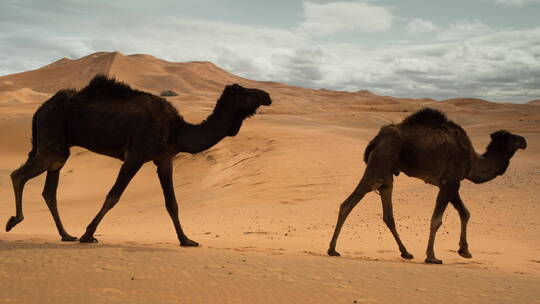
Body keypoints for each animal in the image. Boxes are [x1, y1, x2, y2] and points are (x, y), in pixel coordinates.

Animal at [6, 75, 272, 246]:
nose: (267, 95)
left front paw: (186, 240)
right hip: (52, 139)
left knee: (49, 190)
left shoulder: (164, 159)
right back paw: (14, 221)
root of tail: (40, 108)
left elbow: (172, 203)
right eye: (246, 92)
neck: (177, 131)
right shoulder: (135, 156)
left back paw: (65, 234)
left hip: (60, 147)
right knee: (19, 175)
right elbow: (113, 196)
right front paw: (88, 235)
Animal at [326, 107, 524, 264]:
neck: (472, 161)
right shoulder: (450, 182)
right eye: (512, 137)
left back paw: (406, 253)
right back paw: (332, 249)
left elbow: (465, 213)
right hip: (381, 161)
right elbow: (437, 219)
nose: (524, 140)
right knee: (348, 203)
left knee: (387, 213)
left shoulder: (451, 184)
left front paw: (464, 251)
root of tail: (376, 139)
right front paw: (432, 257)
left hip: (387, 173)